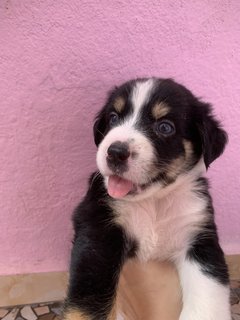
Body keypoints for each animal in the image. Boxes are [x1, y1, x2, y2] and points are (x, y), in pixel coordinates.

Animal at [63, 78, 231, 320]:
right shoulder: (97, 227)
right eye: (113, 117)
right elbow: (88, 302)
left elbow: (208, 298)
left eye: (165, 127)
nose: (115, 152)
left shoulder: (199, 237)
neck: (153, 204)